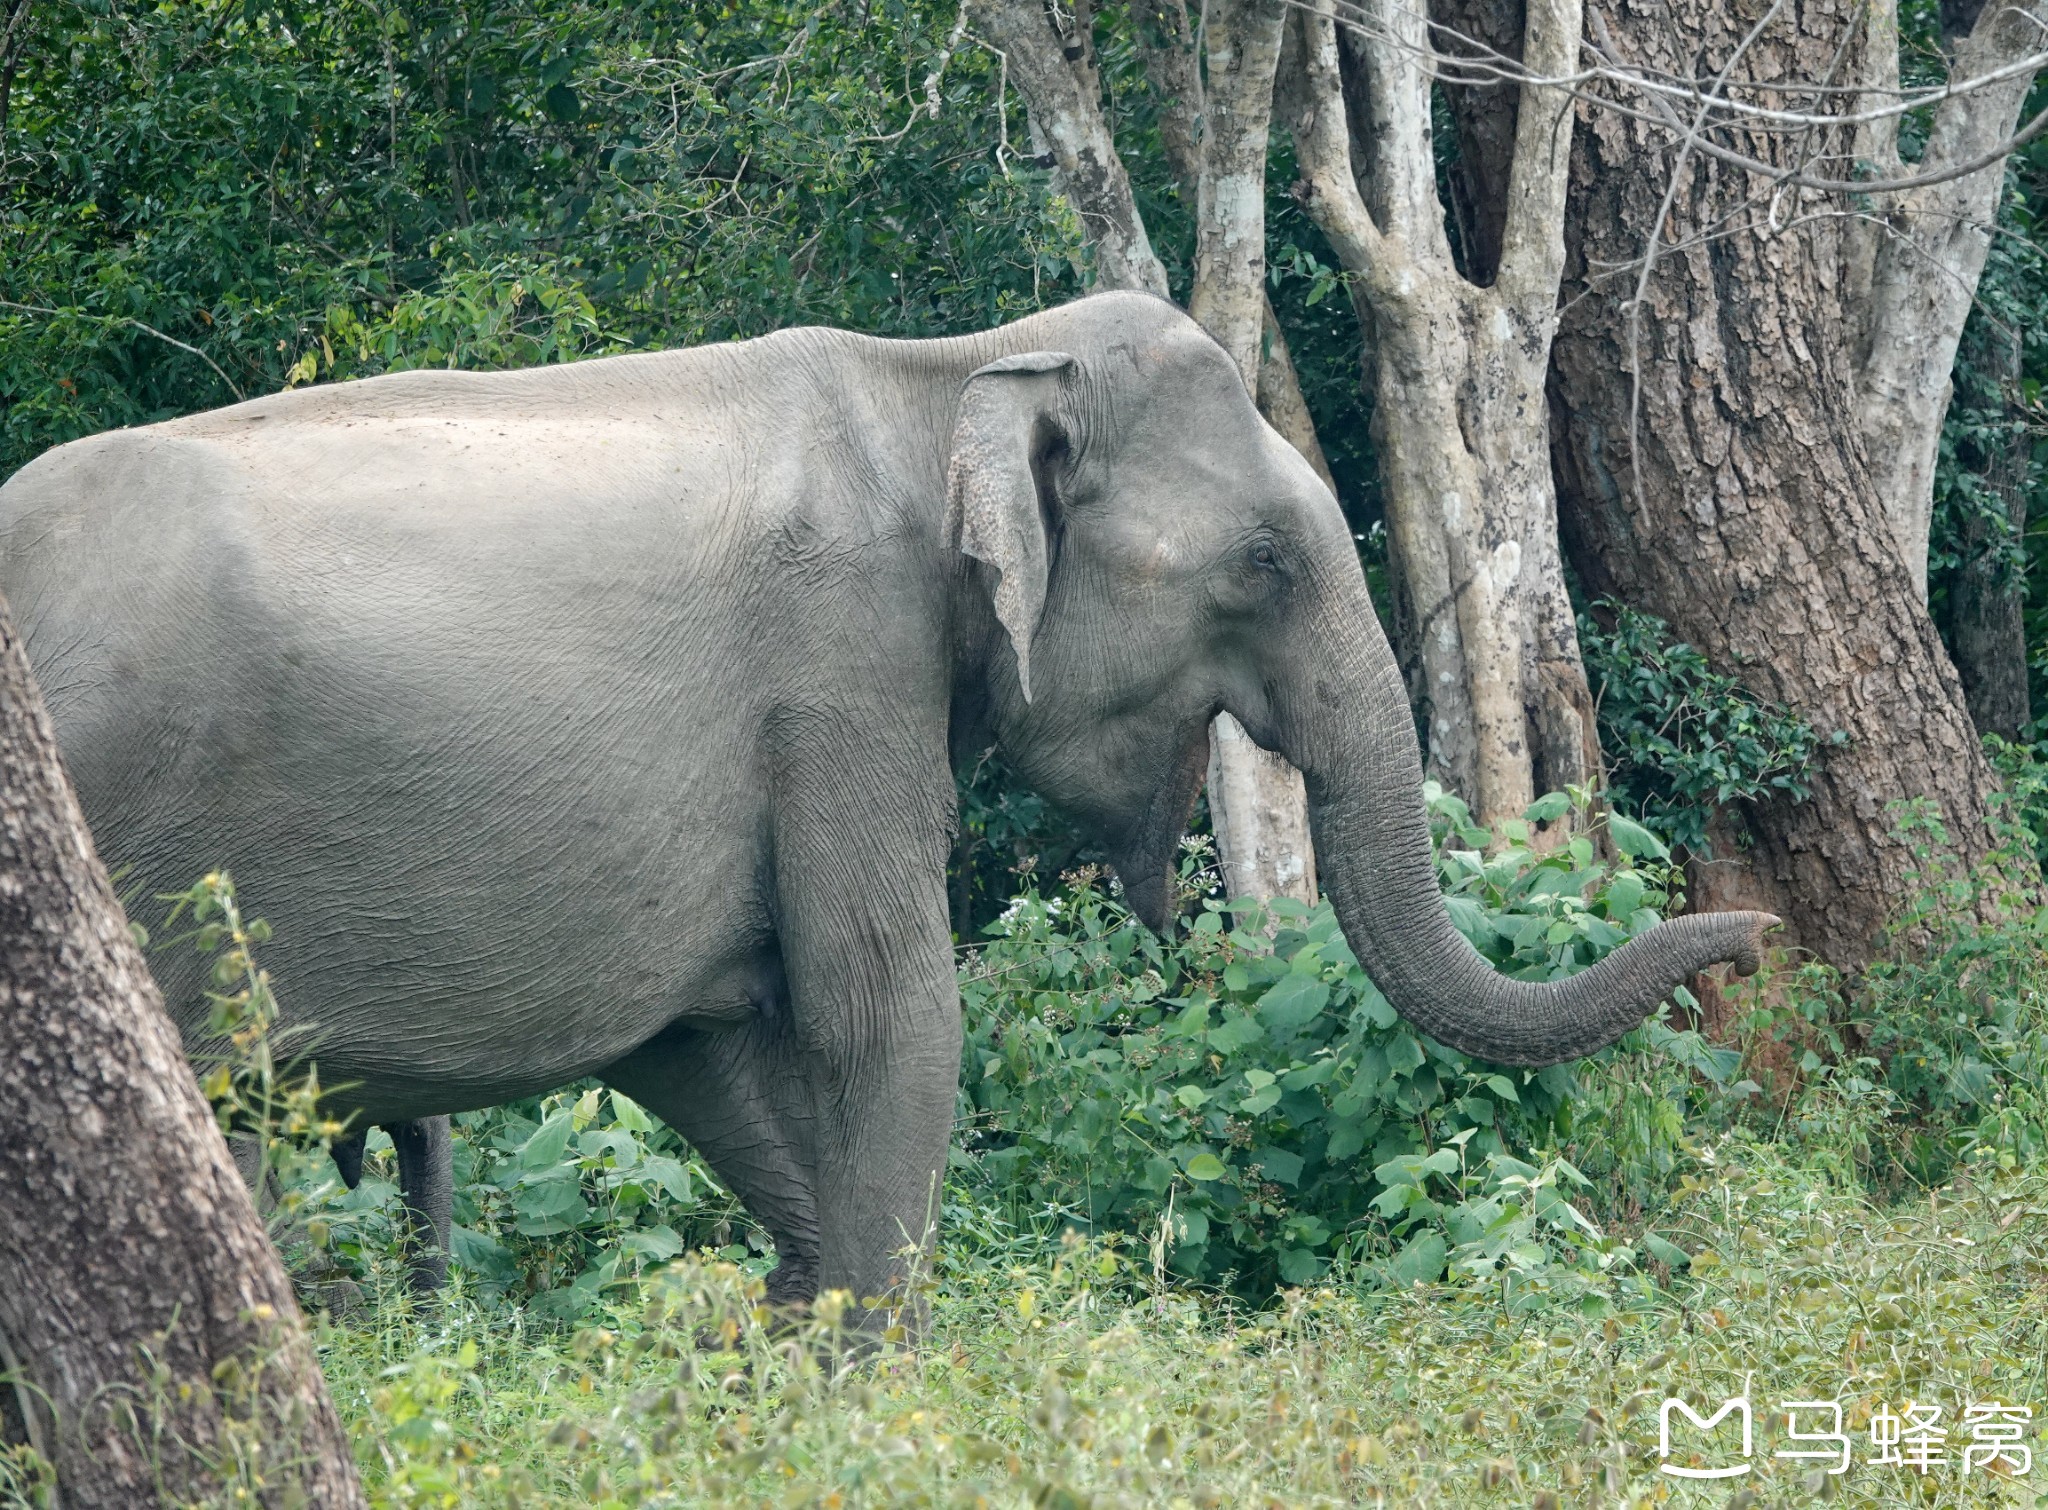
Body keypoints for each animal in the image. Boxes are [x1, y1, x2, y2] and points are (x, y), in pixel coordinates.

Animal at [0, 288, 1777, 1311]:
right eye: (1266, 561)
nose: (1751, 934)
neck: (953, 374)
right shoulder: (840, 673)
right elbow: (891, 1017)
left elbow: (717, 1050)